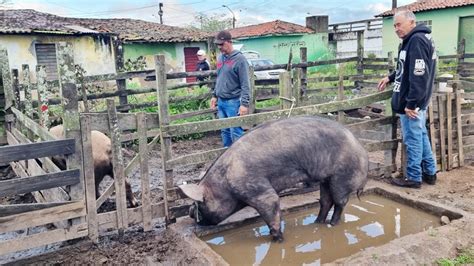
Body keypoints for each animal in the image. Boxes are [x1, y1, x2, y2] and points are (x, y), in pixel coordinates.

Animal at [180, 116, 368, 241]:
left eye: (199, 203)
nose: (189, 211)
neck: (225, 183)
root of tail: (361, 148)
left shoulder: (258, 190)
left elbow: (272, 206)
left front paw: (277, 239)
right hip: (325, 179)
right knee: (325, 201)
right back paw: (317, 223)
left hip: (341, 176)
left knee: (340, 202)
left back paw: (331, 224)